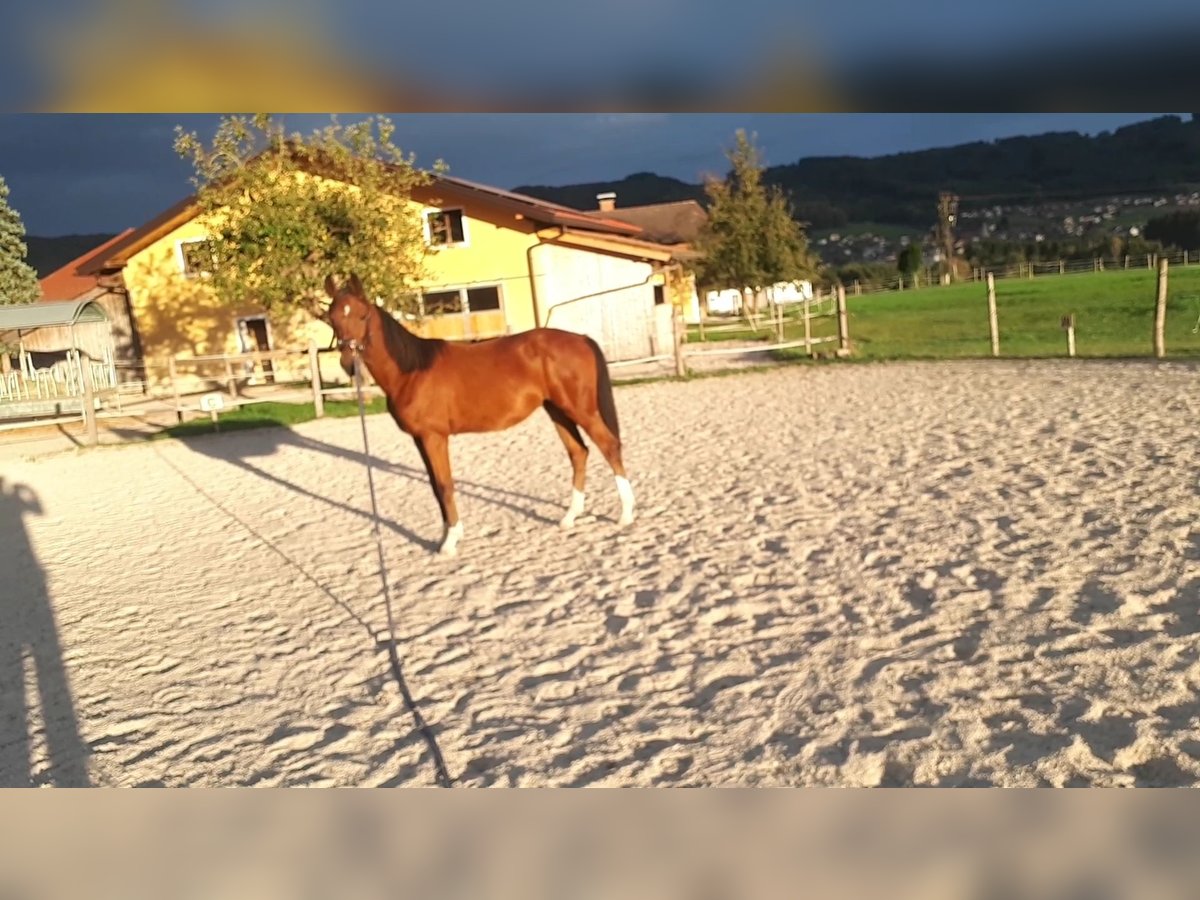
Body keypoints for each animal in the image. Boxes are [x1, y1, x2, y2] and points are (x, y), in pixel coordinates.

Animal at [324, 274, 633, 556]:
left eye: (363, 315)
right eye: (332, 318)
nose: (348, 362)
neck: (411, 370)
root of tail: (581, 339)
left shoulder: (434, 437)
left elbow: (445, 485)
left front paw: (449, 543)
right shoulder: (419, 439)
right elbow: (435, 488)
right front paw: (444, 537)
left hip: (581, 409)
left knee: (609, 446)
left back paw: (626, 515)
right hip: (557, 411)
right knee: (579, 453)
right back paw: (569, 518)